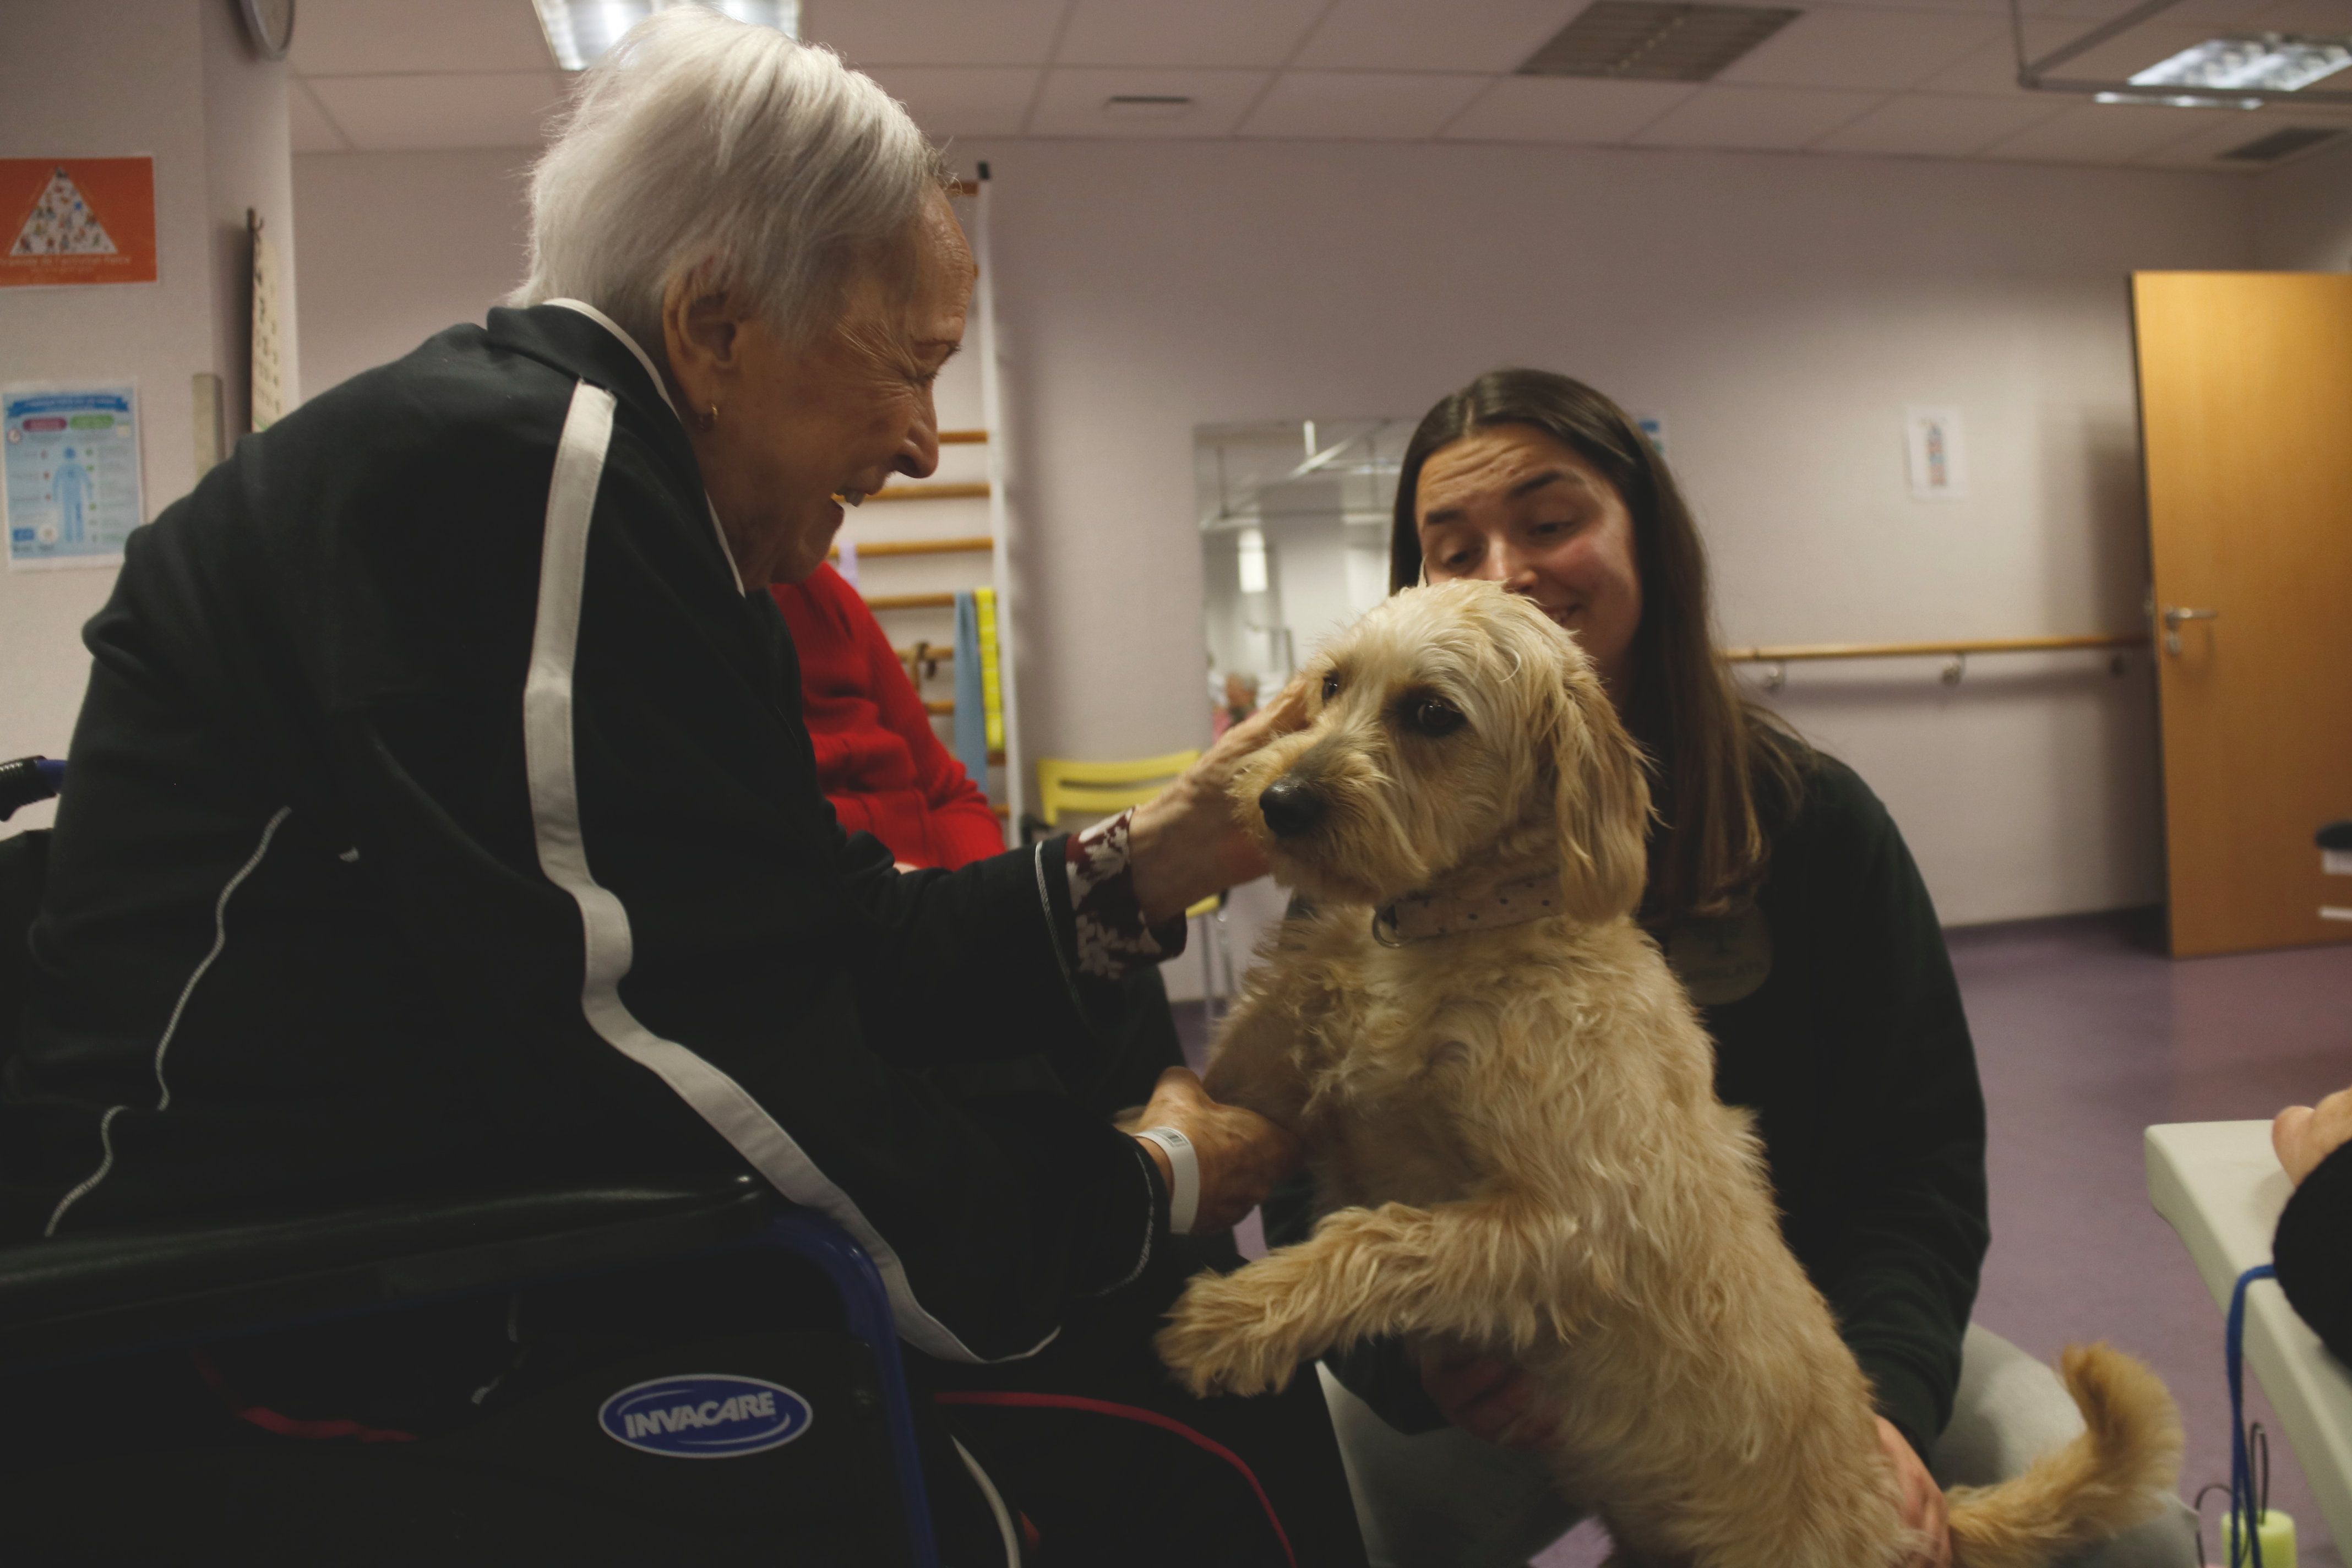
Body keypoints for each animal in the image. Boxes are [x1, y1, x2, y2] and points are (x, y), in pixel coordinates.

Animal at [1157, 582, 2182, 1561]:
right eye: (1332, 684)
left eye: (1433, 713)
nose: (1281, 802)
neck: (1456, 931)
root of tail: (1894, 1515)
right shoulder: (1273, 1093)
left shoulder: (1575, 1217)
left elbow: (1379, 1237)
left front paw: (1240, 1314)